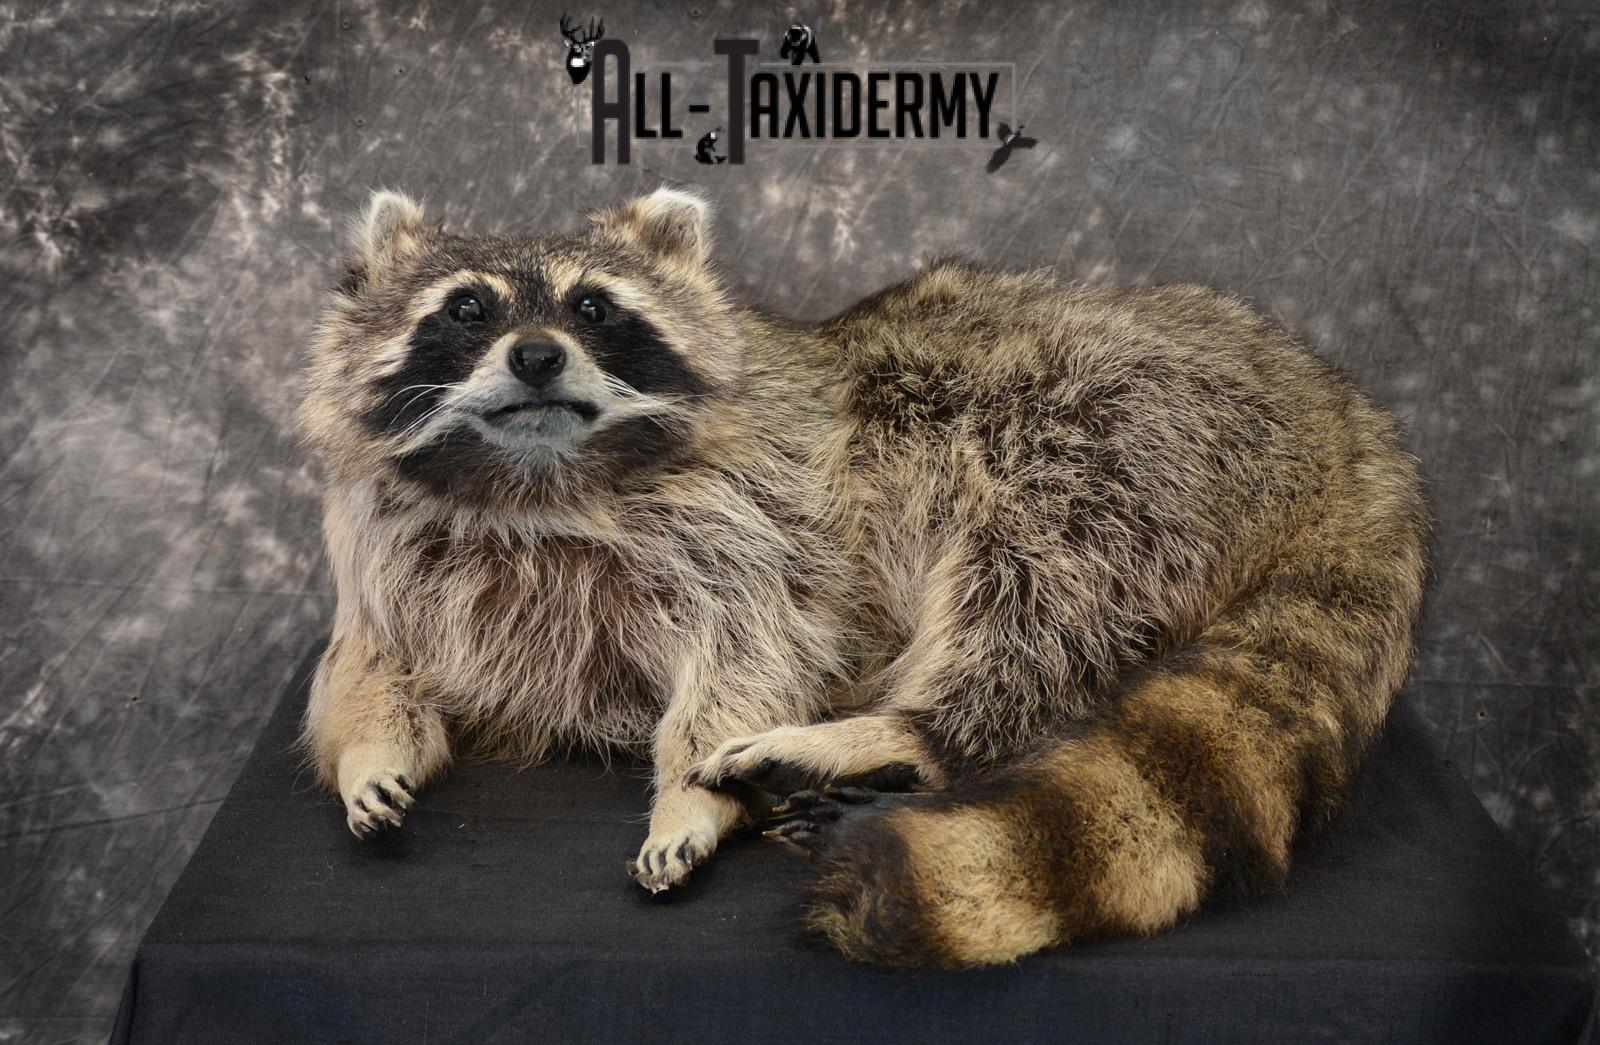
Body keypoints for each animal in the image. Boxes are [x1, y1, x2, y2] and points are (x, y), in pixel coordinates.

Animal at [296, 187, 1428, 968]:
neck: (538, 480)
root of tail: (1347, 428)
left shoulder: (760, 529)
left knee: (1041, 579)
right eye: (466, 307)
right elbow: (369, 666)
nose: (535, 355)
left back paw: (903, 731)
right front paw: (369, 750)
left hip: (1128, 428)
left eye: (594, 307)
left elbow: (748, 659)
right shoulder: (396, 556)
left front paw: (686, 802)